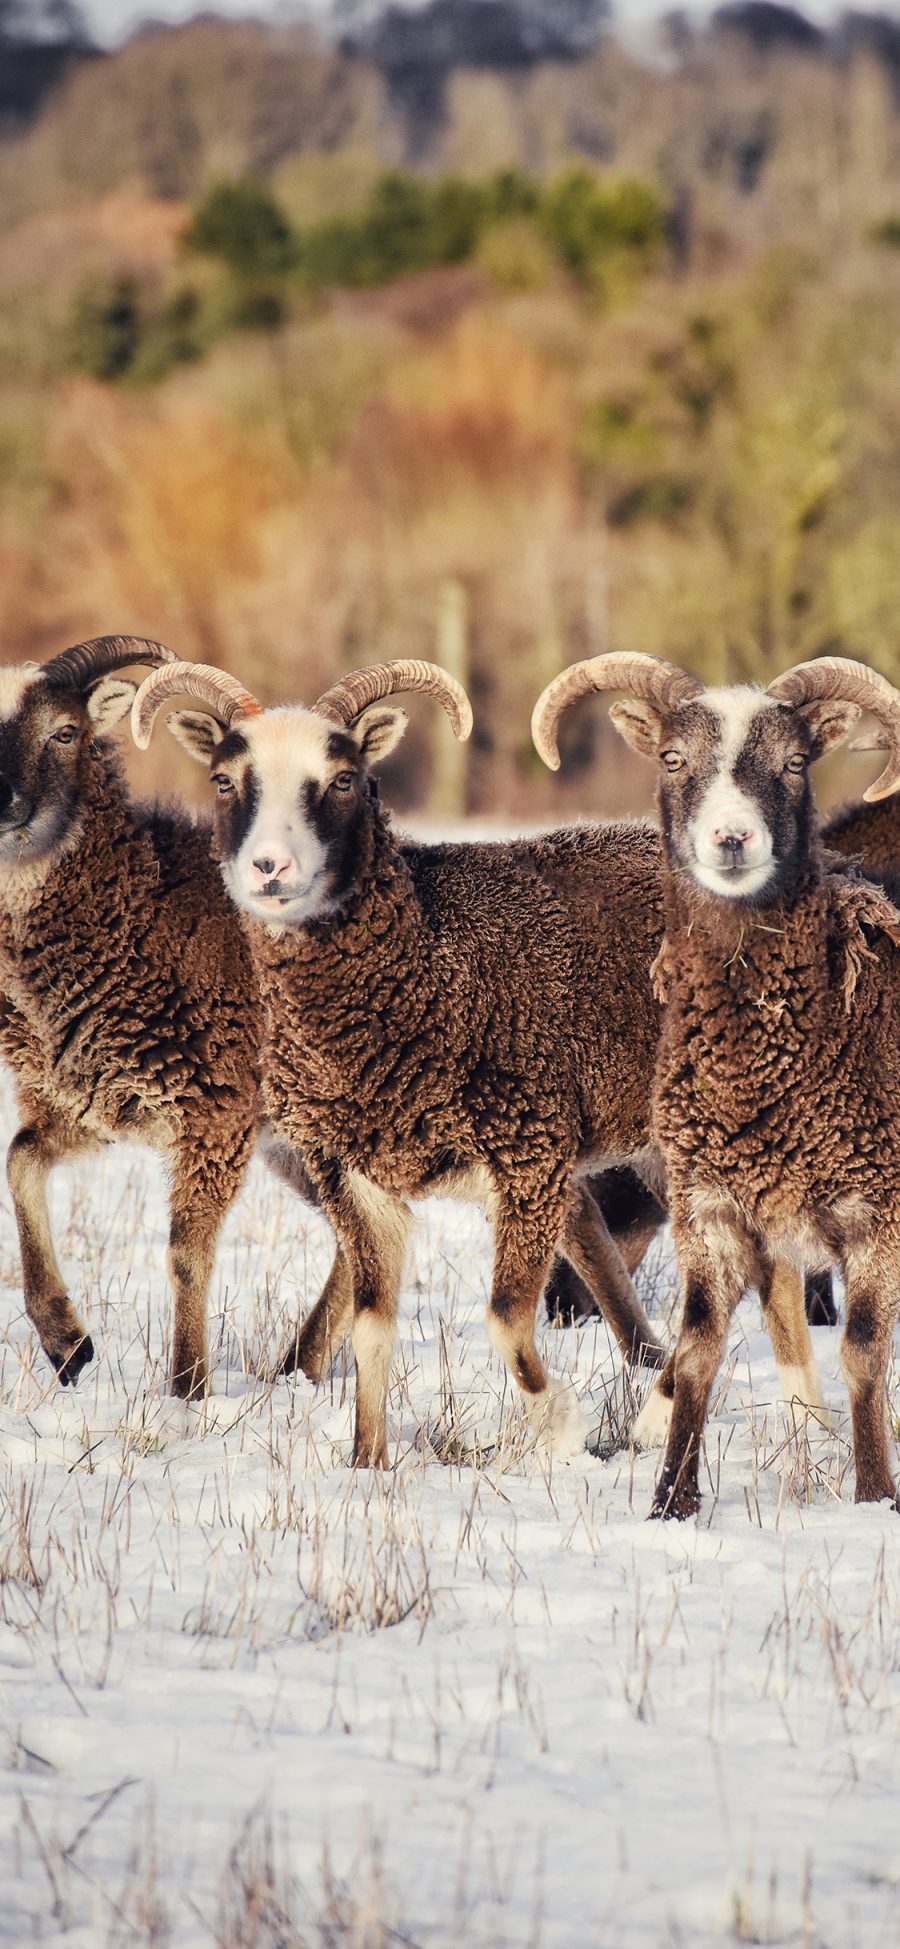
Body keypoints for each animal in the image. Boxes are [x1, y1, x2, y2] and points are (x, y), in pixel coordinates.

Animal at [529, 654, 900, 1520]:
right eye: (671, 758)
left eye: (795, 762)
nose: (732, 839)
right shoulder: (712, 1212)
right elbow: (699, 1349)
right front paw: (672, 1502)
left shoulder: (875, 1212)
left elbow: (863, 1354)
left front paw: (875, 1494)